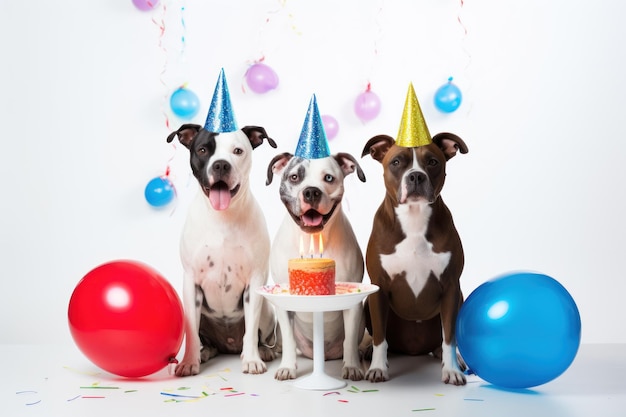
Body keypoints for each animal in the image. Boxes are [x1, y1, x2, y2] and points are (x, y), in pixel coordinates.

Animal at [166, 122, 276, 376]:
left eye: (238, 151)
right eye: (203, 150)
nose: (221, 165)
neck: (223, 217)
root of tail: (229, 346)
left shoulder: (255, 281)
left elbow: (251, 328)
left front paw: (252, 360)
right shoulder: (191, 283)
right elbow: (192, 334)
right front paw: (189, 362)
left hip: (267, 310)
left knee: (259, 335)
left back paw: (262, 351)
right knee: (205, 339)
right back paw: (205, 353)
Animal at [358, 132, 466, 384]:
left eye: (433, 162)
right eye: (396, 162)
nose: (416, 175)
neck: (414, 218)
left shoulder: (451, 288)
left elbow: (450, 335)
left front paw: (452, 370)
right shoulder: (378, 288)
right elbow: (380, 337)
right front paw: (378, 368)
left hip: (460, 297)